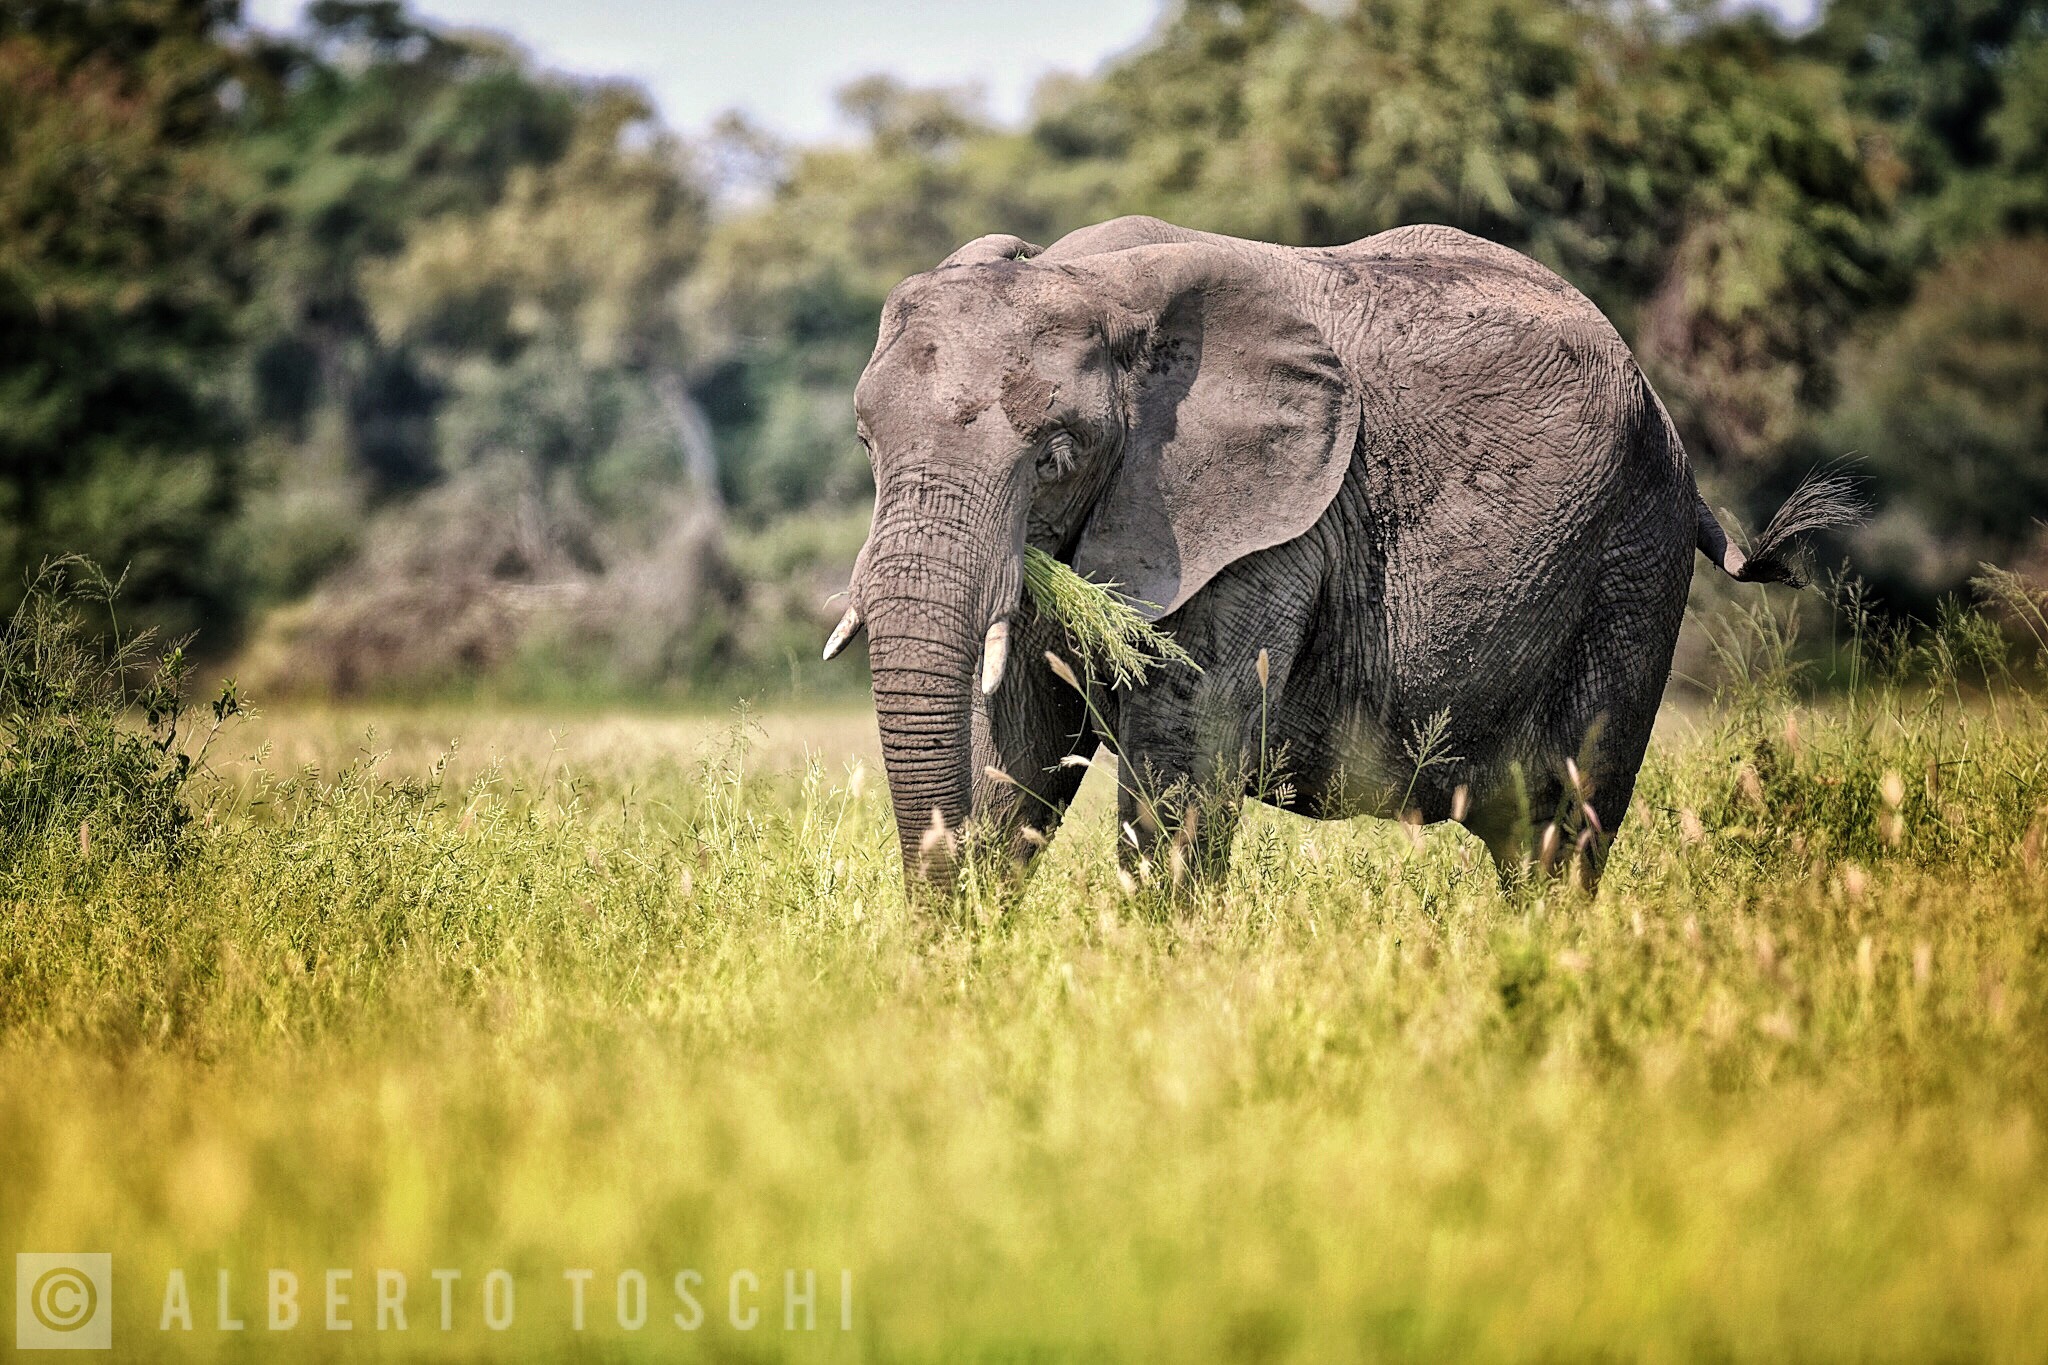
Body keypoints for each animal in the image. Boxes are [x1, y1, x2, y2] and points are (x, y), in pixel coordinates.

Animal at [823, 215, 1859, 896]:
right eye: (867, 441)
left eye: (1054, 453)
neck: (1096, 285)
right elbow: (1016, 744)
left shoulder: (1264, 528)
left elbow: (1182, 746)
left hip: (1631, 559)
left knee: (1568, 821)